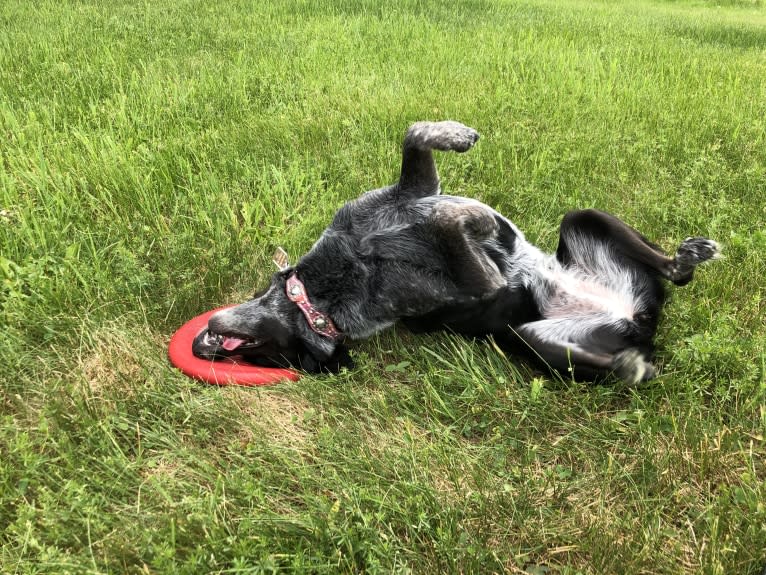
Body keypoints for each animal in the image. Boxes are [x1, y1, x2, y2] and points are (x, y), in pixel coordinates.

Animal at [192, 121, 720, 382]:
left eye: (255, 355)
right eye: (273, 360)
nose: (201, 345)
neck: (333, 283)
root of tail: (640, 319)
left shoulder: (411, 190)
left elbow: (414, 136)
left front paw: (456, 135)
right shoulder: (479, 281)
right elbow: (450, 221)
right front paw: (479, 219)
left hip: (584, 216)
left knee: (676, 273)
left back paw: (689, 256)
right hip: (534, 337)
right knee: (627, 368)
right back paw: (632, 366)